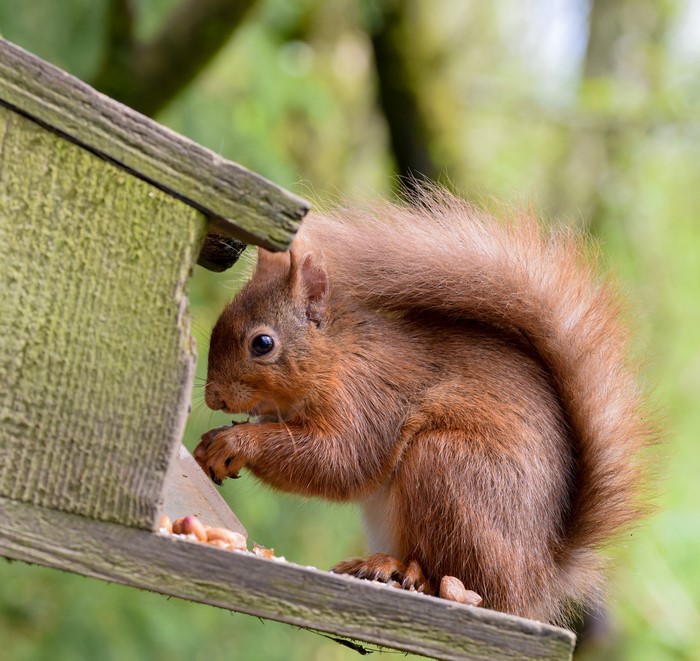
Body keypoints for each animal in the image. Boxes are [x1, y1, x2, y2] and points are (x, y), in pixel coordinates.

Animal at [194, 188, 652, 625]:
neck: (338, 356)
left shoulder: (368, 402)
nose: (213, 397)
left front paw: (236, 442)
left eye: (262, 343)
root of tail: (540, 577)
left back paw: (407, 573)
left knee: (469, 584)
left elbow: (338, 461)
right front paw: (211, 442)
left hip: (447, 468)